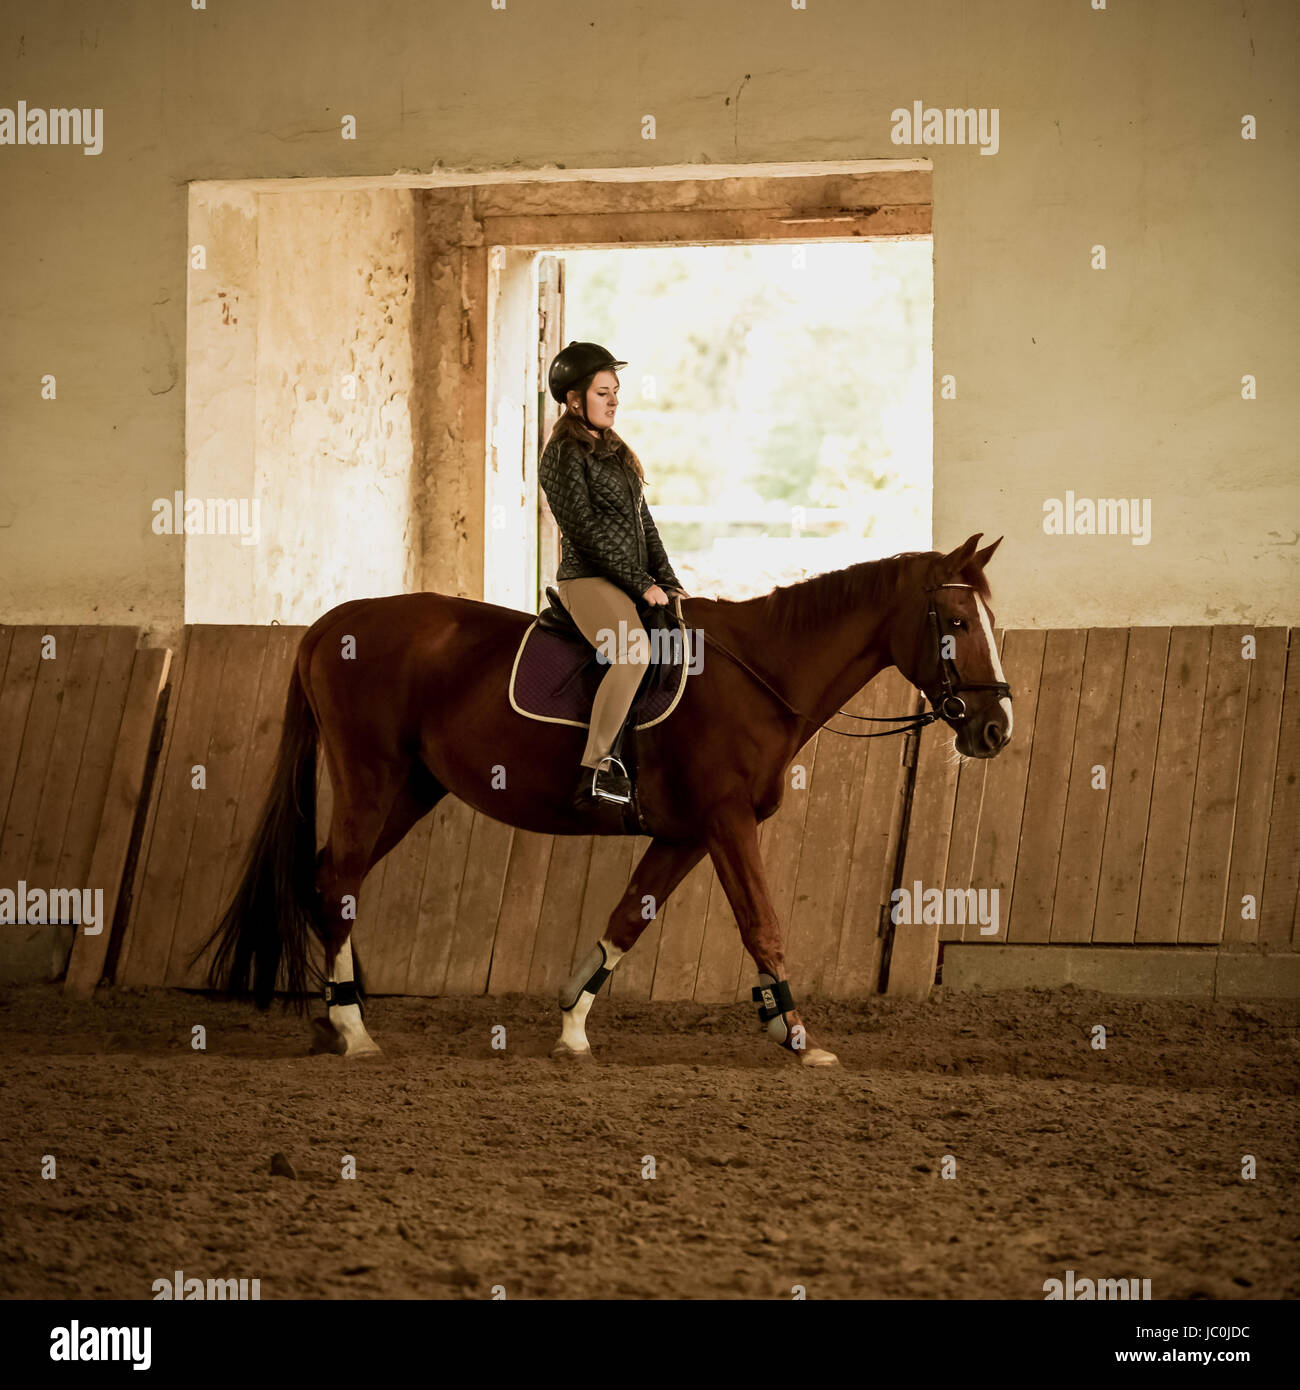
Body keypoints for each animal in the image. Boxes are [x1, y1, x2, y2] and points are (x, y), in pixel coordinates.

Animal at [205, 530, 1017, 1061]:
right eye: (955, 622)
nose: (996, 729)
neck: (760, 673)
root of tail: (331, 623)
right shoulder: (726, 821)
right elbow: (762, 923)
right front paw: (795, 1034)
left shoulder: (686, 833)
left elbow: (628, 919)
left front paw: (572, 1026)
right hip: (373, 777)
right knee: (338, 880)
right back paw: (353, 1031)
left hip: (411, 788)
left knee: (329, 880)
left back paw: (332, 1017)